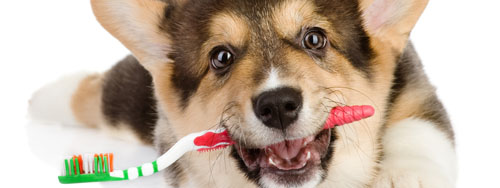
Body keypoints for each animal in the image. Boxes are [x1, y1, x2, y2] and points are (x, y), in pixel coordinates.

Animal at [29, 0, 456, 187]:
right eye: (221, 57)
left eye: (314, 39)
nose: (278, 105)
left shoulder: (413, 83)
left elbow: (418, 128)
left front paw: (407, 177)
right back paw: (45, 96)